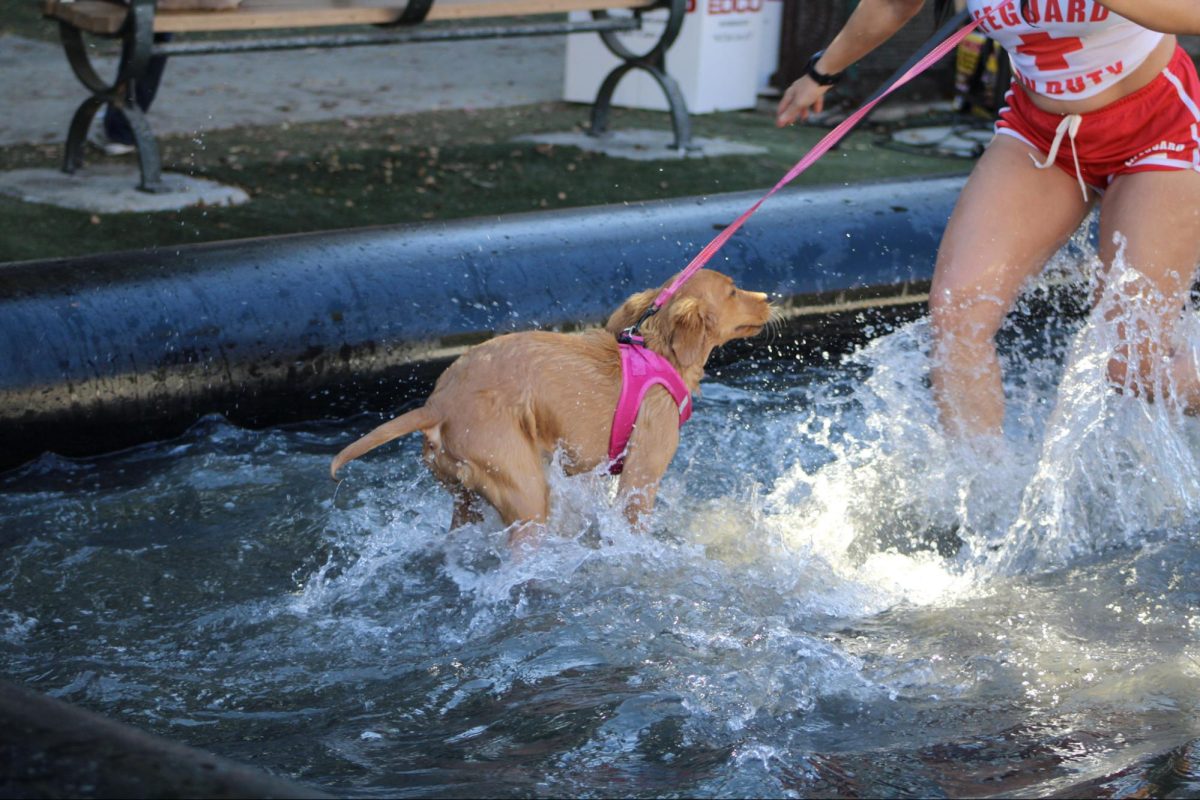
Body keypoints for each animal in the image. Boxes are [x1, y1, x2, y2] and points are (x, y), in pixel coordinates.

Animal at [331, 268, 768, 544]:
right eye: (733, 291)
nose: (767, 298)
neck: (656, 351)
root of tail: (438, 405)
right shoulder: (640, 478)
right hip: (525, 494)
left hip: (465, 500)